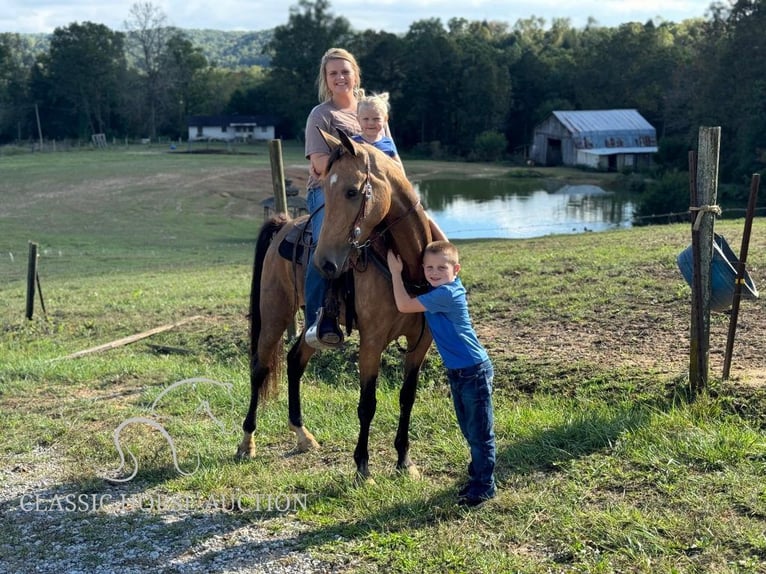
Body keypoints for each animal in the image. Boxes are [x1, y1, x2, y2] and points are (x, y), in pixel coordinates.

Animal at [240, 130, 440, 482]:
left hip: (312, 326)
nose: (324, 263)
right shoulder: (372, 342)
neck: (408, 266)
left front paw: (404, 460)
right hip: (275, 313)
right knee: (260, 368)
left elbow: (407, 397)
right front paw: (362, 466)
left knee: (294, 360)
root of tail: (283, 224)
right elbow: (367, 403)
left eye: (351, 191)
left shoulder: (421, 343)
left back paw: (302, 435)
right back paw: (247, 442)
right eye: (328, 191)